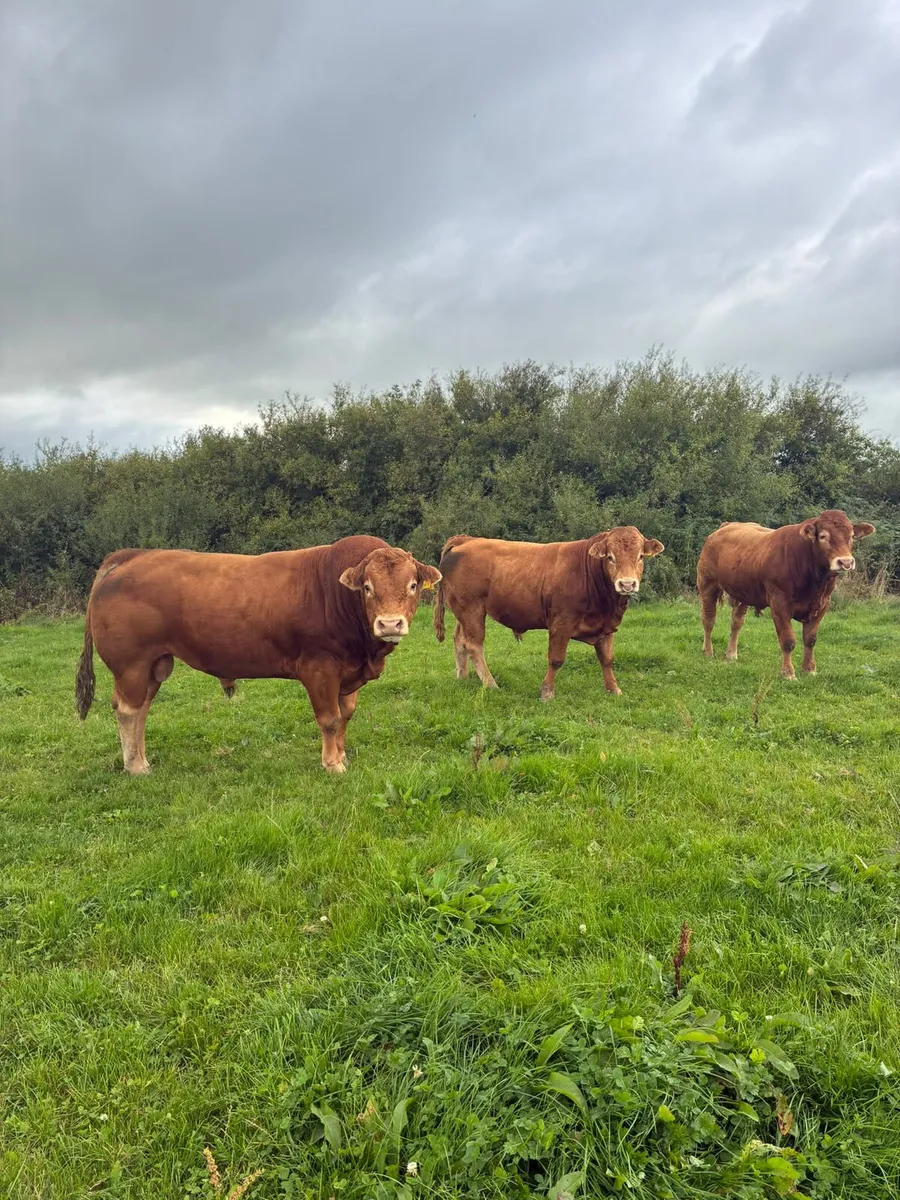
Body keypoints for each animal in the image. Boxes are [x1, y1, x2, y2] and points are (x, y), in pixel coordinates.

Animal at [75, 536, 441, 775]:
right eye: (367, 587)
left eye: (412, 586)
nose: (390, 623)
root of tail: (131, 555)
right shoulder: (319, 668)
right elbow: (330, 718)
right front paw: (333, 764)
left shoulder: (347, 674)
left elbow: (346, 714)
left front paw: (342, 755)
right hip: (131, 664)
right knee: (128, 711)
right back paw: (136, 766)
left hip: (154, 664)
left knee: (140, 710)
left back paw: (140, 760)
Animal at [433, 527, 665, 700]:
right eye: (610, 557)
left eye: (640, 557)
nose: (627, 584)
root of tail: (466, 540)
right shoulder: (561, 624)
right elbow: (556, 659)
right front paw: (547, 692)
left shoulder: (605, 626)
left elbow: (606, 659)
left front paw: (613, 689)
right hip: (472, 609)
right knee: (474, 645)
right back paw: (491, 684)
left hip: (464, 612)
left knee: (459, 640)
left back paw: (462, 677)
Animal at [696, 509, 876, 679]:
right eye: (823, 536)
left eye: (851, 536)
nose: (845, 562)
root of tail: (727, 525)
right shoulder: (780, 604)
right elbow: (788, 640)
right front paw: (788, 673)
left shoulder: (823, 605)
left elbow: (810, 640)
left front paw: (809, 670)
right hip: (707, 584)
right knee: (708, 620)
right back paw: (708, 652)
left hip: (743, 592)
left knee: (736, 622)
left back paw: (731, 654)